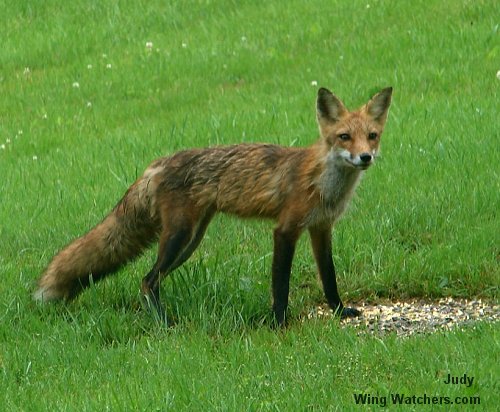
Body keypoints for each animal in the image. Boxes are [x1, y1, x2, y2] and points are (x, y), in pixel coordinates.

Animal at [35, 87, 392, 326]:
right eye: (344, 137)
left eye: (372, 136)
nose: (365, 157)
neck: (324, 183)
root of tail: (158, 163)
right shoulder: (286, 229)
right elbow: (281, 284)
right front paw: (279, 323)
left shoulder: (321, 228)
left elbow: (329, 276)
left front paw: (338, 311)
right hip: (179, 235)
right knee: (148, 280)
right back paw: (165, 324)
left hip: (189, 242)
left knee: (152, 280)